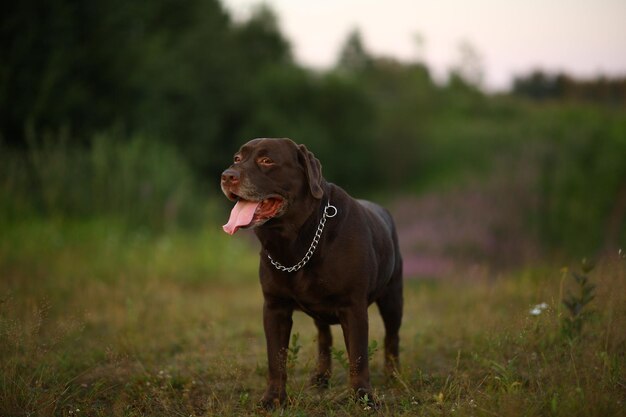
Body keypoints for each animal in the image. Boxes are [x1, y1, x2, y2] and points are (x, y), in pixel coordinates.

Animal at [221, 138, 404, 408]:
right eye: (236, 158)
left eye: (266, 160)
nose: (227, 176)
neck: (295, 242)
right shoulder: (274, 307)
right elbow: (276, 359)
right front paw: (273, 398)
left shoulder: (353, 306)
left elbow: (358, 356)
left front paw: (363, 397)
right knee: (324, 338)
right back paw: (321, 377)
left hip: (392, 299)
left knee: (392, 338)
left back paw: (394, 377)